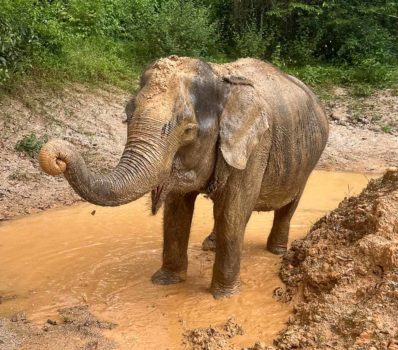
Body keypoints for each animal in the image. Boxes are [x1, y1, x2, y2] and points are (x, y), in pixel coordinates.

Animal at [38, 56, 328, 300]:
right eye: (127, 116)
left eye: (188, 130)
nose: (57, 158)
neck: (220, 77)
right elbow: (177, 210)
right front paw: (165, 282)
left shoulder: (255, 147)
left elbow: (233, 214)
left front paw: (224, 298)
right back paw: (210, 246)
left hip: (309, 158)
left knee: (287, 206)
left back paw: (276, 252)